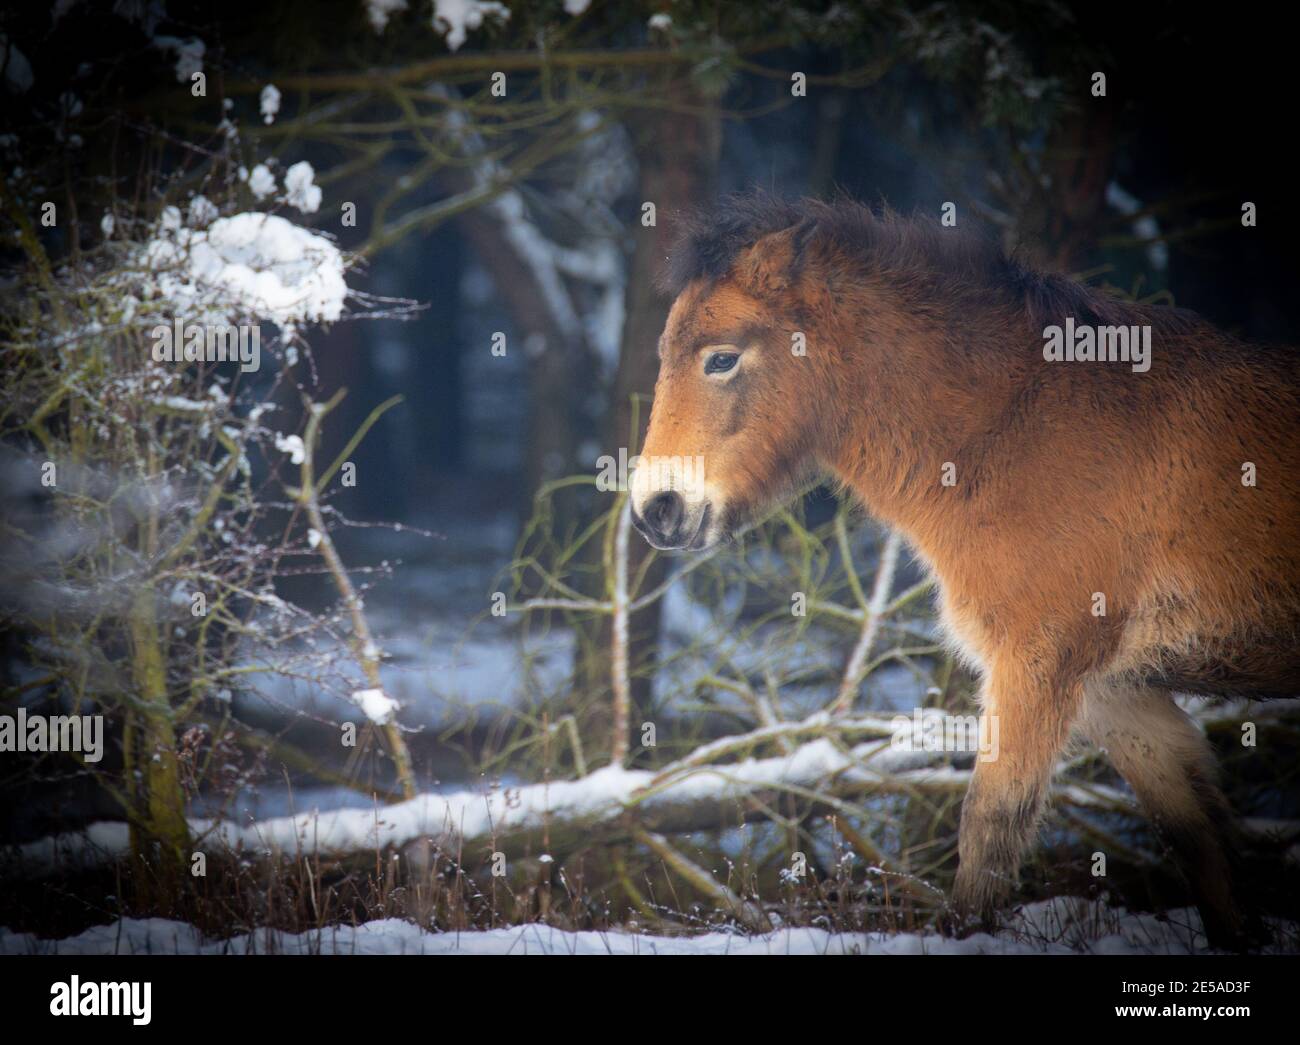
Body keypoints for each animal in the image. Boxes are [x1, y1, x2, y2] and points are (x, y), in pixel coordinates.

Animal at [629, 189, 1300, 946]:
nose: (656, 508)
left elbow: (989, 830)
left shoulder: (1037, 662)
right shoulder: (1118, 694)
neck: (1019, 426)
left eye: (721, 359)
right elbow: (1203, 850)